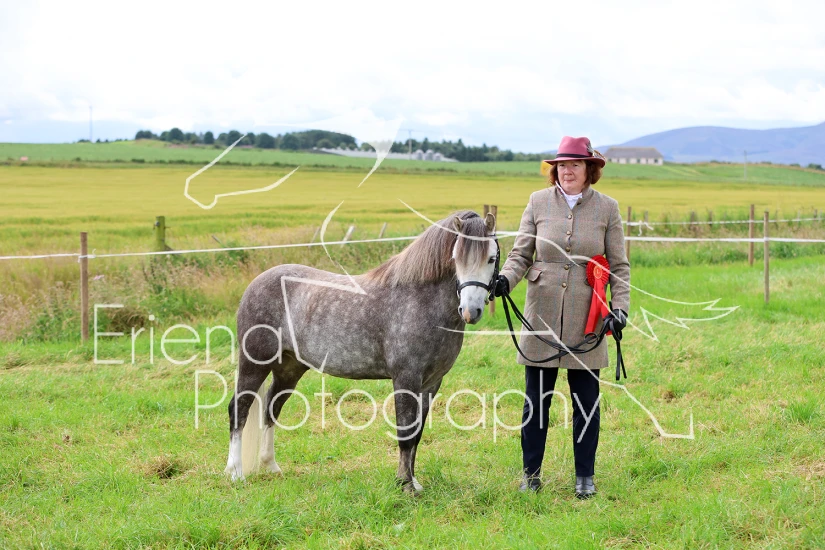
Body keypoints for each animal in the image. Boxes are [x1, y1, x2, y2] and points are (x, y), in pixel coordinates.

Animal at [224, 210, 498, 492]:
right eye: (456, 258)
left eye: (491, 258)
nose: (471, 311)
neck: (419, 300)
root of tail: (255, 284)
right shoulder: (405, 378)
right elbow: (405, 433)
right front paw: (405, 485)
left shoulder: (431, 383)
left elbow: (417, 433)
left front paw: (413, 482)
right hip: (254, 362)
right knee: (239, 408)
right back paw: (236, 473)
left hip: (289, 368)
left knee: (271, 407)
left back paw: (271, 466)